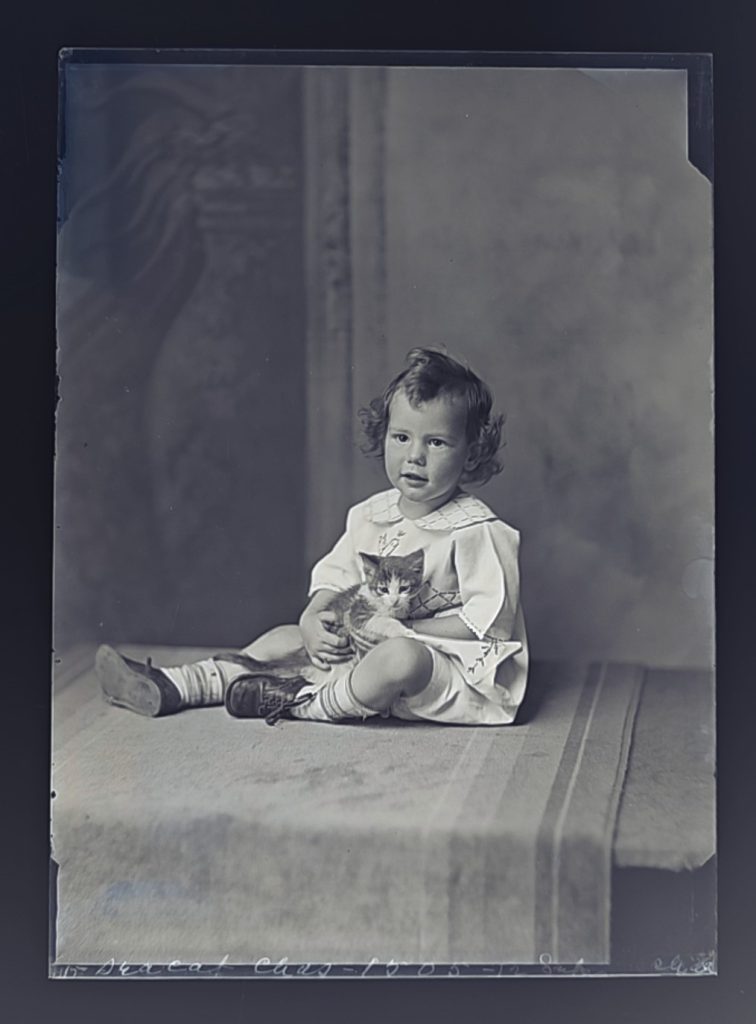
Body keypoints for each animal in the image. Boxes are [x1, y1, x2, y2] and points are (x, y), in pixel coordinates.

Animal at [215, 548, 424, 684]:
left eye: (404, 588)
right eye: (383, 589)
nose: (395, 600)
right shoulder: (357, 613)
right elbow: (380, 621)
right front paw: (403, 630)